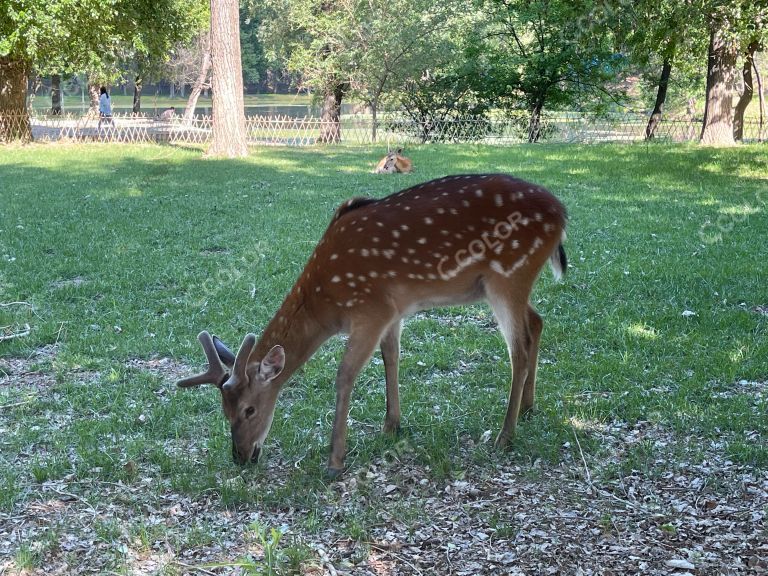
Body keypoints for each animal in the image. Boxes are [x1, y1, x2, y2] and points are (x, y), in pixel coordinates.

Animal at [178, 172, 564, 476]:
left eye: (249, 409)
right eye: (223, 411)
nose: (241, 456)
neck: (326, 304)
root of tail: (561, 215)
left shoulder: (370, 308)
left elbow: (345, 375)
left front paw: (335, 461)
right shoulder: (392, 311)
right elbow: (390, 358)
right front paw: (391, 425)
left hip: (508, 275)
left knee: (518, 348)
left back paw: (504, 435)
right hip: (507, 283)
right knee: (537, 321)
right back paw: (528, 407)